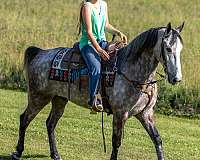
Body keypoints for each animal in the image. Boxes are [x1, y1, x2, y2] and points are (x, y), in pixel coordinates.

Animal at [11, 21, 184, 159]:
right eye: (168, 48)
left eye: (180, 49)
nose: (176, 78)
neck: (133, 71)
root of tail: (40, 53)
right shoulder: (120, 114)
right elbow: (116, 142)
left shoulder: (145, 114)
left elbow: (157, 139)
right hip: (38, 97)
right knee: (24, 118)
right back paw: (18, 152)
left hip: (59, 99)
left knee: (50, 124)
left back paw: (55, 154)